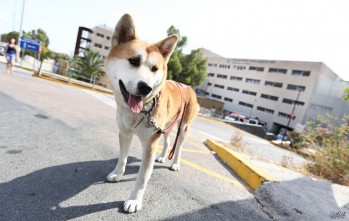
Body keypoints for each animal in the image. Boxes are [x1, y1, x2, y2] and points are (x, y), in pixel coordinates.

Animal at [104, 13, 198, 212]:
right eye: (133, 61)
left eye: (155, 69)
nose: (145, 87)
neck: (143, 110)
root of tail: (187, 86)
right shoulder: (125, 133)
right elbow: (122, 158)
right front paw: (117, 173)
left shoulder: (150, 143)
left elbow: (143, 176)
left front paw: (134, 200)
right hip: (167, 126)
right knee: (168, 140)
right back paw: (162, 157)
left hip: (183, 127)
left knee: (178, 147)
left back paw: (175, 163)